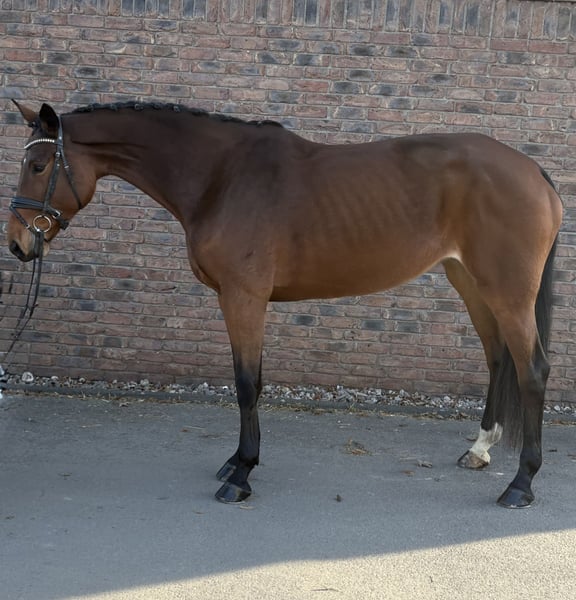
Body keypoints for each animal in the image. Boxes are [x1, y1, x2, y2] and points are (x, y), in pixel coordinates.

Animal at [7, 100, 562, 508]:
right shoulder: (241, 300)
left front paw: (241, 477)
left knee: (531, 369)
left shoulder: (244, 297)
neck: (222, 177)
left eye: (37, 165)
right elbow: (252, 378)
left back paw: (520, 485)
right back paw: (479, 450)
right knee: (498, 358)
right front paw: (236, 461)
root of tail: (533, 170)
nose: (17, 244)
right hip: (468, 280)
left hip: (507, 291)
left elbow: (246, 383)